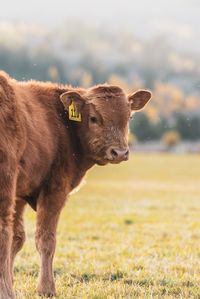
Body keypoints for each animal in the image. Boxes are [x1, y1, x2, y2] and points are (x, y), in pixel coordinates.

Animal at [0, 71, 151, 298]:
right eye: (94, 118)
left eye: (129, 117)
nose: (120, 152)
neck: (64, 126)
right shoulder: (55, 188)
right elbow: (45, 240)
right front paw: (46, 289)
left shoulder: (21, 193)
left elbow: (17, 240)